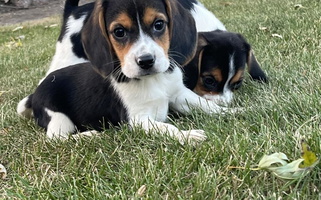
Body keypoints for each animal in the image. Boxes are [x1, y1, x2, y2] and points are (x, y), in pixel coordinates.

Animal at [16, 0, 232, 144]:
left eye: (159, 24)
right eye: (119, 32)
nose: (146, 61)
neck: (154, 80)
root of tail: (34, 94)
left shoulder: (179, 95)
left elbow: (206, 105)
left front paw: (233, 111)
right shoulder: (138, 120)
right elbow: (167, 127)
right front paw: (187, 135)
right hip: (59, 117)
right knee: (56, 139)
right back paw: (88, 136)